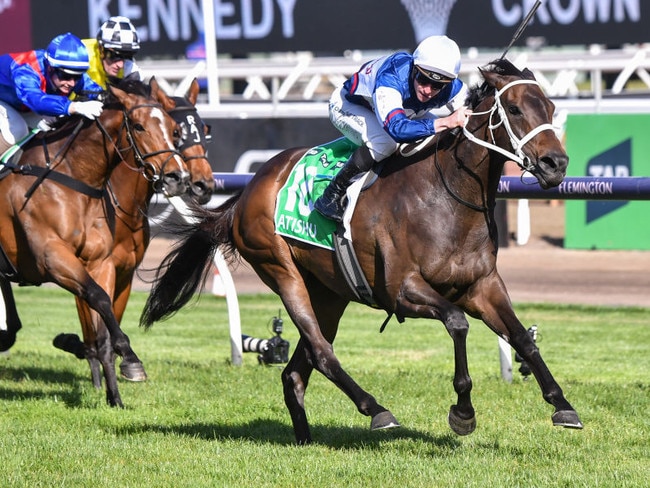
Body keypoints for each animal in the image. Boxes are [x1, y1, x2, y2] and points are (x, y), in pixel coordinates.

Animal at [0, 80, 187, 408]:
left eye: (174, 129)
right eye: (138, 126)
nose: (177, 177)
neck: (73, 179)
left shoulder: (102, 263)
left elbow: (103, 323)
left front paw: (115, 396)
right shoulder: (52, 258)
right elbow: (98, 298)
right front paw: (129, 355)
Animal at [139, 59, 580, 444]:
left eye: (551, 107)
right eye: (514, 108)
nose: (556, 164)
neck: (447, 198)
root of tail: (249, 189)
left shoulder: (482, 285)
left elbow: (522, 337)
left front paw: (562, 405)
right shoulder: (403, 291)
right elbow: (457, 323)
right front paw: (463, 412)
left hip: (329, 293)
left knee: (297, 370)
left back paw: (305, 439)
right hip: (281, 270)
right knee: (322, 352)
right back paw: (376, 409)